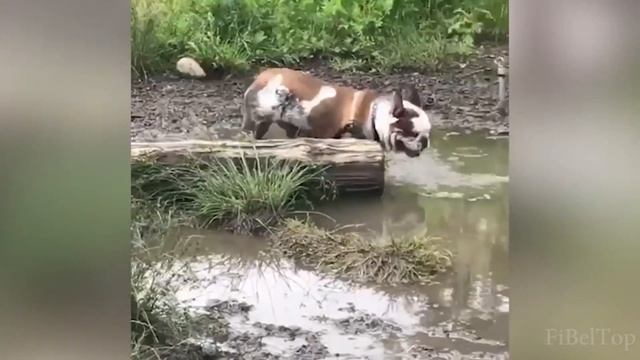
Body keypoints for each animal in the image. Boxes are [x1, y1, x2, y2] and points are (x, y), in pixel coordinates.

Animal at [242, 68, 432, 158]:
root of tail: (262, 77)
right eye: (413, 133)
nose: (424, 143)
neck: (373, 112)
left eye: (428, 133)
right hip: (257, 118)